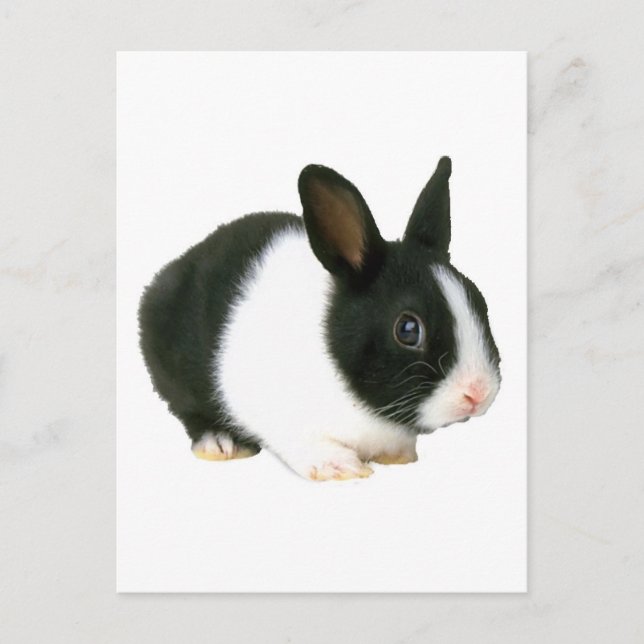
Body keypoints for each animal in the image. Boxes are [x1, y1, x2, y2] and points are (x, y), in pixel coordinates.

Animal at [138, 156, 501, 481]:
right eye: (408, 329)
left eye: (479, 302)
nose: (478, 393)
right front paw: (340, 468)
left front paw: (396, 456)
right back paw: (220, 443)